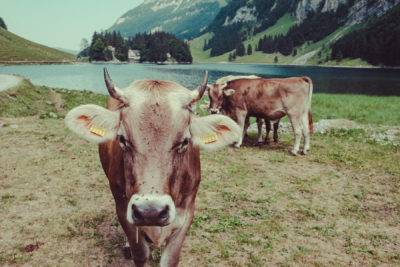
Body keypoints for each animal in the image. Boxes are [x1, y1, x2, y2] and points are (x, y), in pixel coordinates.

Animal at [65, 69, 241, 267]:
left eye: (185, 141)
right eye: (122, 139)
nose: (150, 212)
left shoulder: (187, 214)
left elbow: (171, 258)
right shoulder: (123, 209)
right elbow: (140, 253)